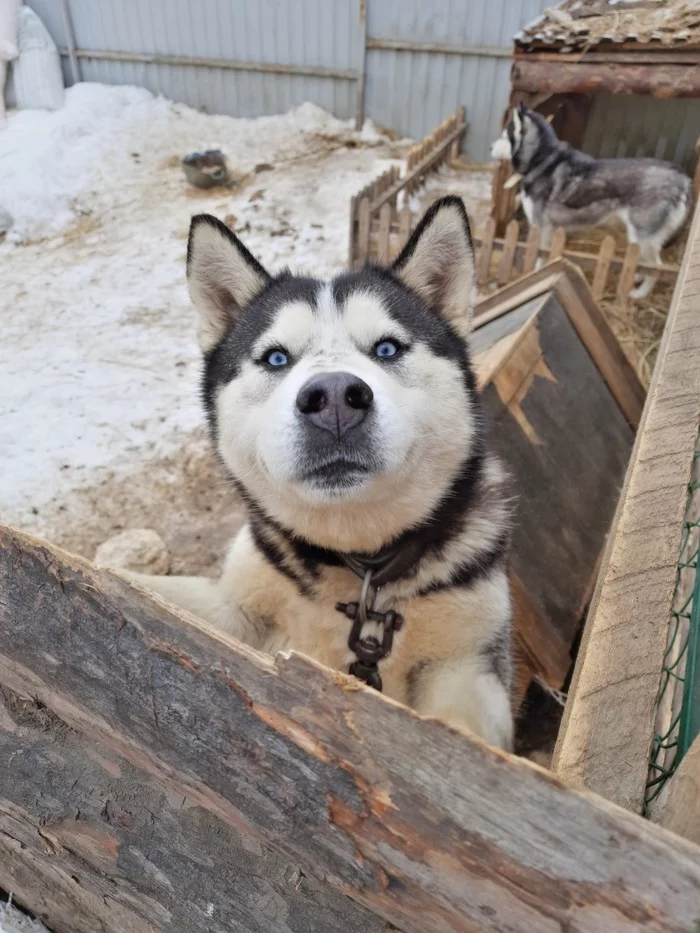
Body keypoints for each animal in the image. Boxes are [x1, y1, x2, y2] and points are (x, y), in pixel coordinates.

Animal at [490, 104, 692, 296]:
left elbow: (539, 256)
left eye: (504, 137)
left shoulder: (541, 227)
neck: (541, 161)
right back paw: (635, 278)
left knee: (656, 266)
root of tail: (681, 177)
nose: (490, 147)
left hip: (641, 235)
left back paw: (639, 294)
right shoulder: (551, 229)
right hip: (641, 239)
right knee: (644, 262)